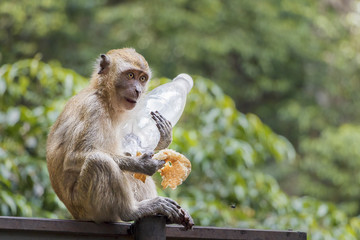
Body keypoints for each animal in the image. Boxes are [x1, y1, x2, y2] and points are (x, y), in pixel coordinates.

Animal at [47, 47, 194, 230]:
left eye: (142, 78)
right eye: (130, 75)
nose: (138, 90)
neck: (104, 97)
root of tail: (75, 214)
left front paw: (163, 139)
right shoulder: (93, 109)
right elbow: (74, 158)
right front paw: (142, 164)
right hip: (87, 208)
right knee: (99, 161)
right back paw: (132, 210)